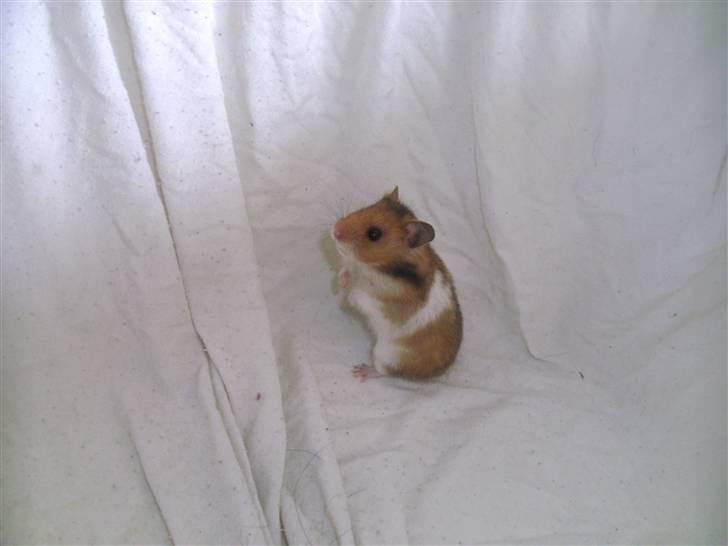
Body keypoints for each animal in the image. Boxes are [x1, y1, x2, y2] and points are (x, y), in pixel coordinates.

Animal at [330, 187, 463, 381]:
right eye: (366, 207)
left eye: (374, 234)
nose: (333, 230)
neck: (376, 268)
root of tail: (437, 373)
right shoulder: (355, 267)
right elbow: (346, 269)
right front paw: (340, 284)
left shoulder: (388, 308)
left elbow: (365, 297)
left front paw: (348, 295)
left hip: (384, 354)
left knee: (382, 371)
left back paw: (360, 371)